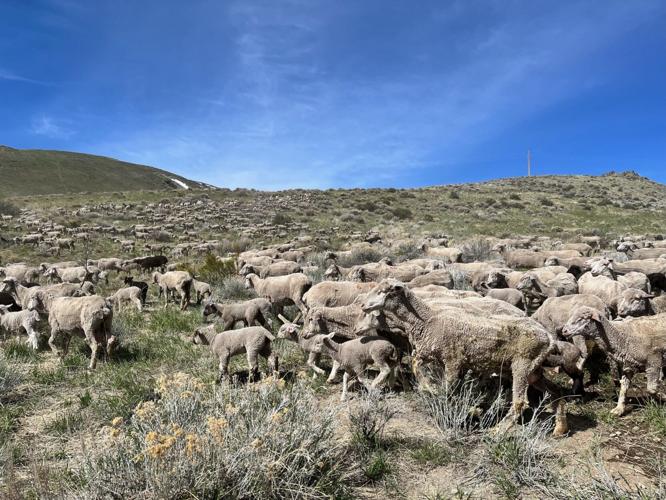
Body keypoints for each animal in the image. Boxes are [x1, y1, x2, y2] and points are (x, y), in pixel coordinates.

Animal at [360, 279, 569, 436]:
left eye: (382, 291)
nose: (363, 305)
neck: (428, 319)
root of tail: (548, 337)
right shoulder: (429, 352)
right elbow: (415, 364)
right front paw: (427, 387)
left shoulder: (453, 360)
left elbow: (448, 387)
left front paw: (439, 393)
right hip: (534, 369)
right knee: (556, 391)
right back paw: (560, 428)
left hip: (522, 365)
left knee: (519, 402)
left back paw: (497, 431)